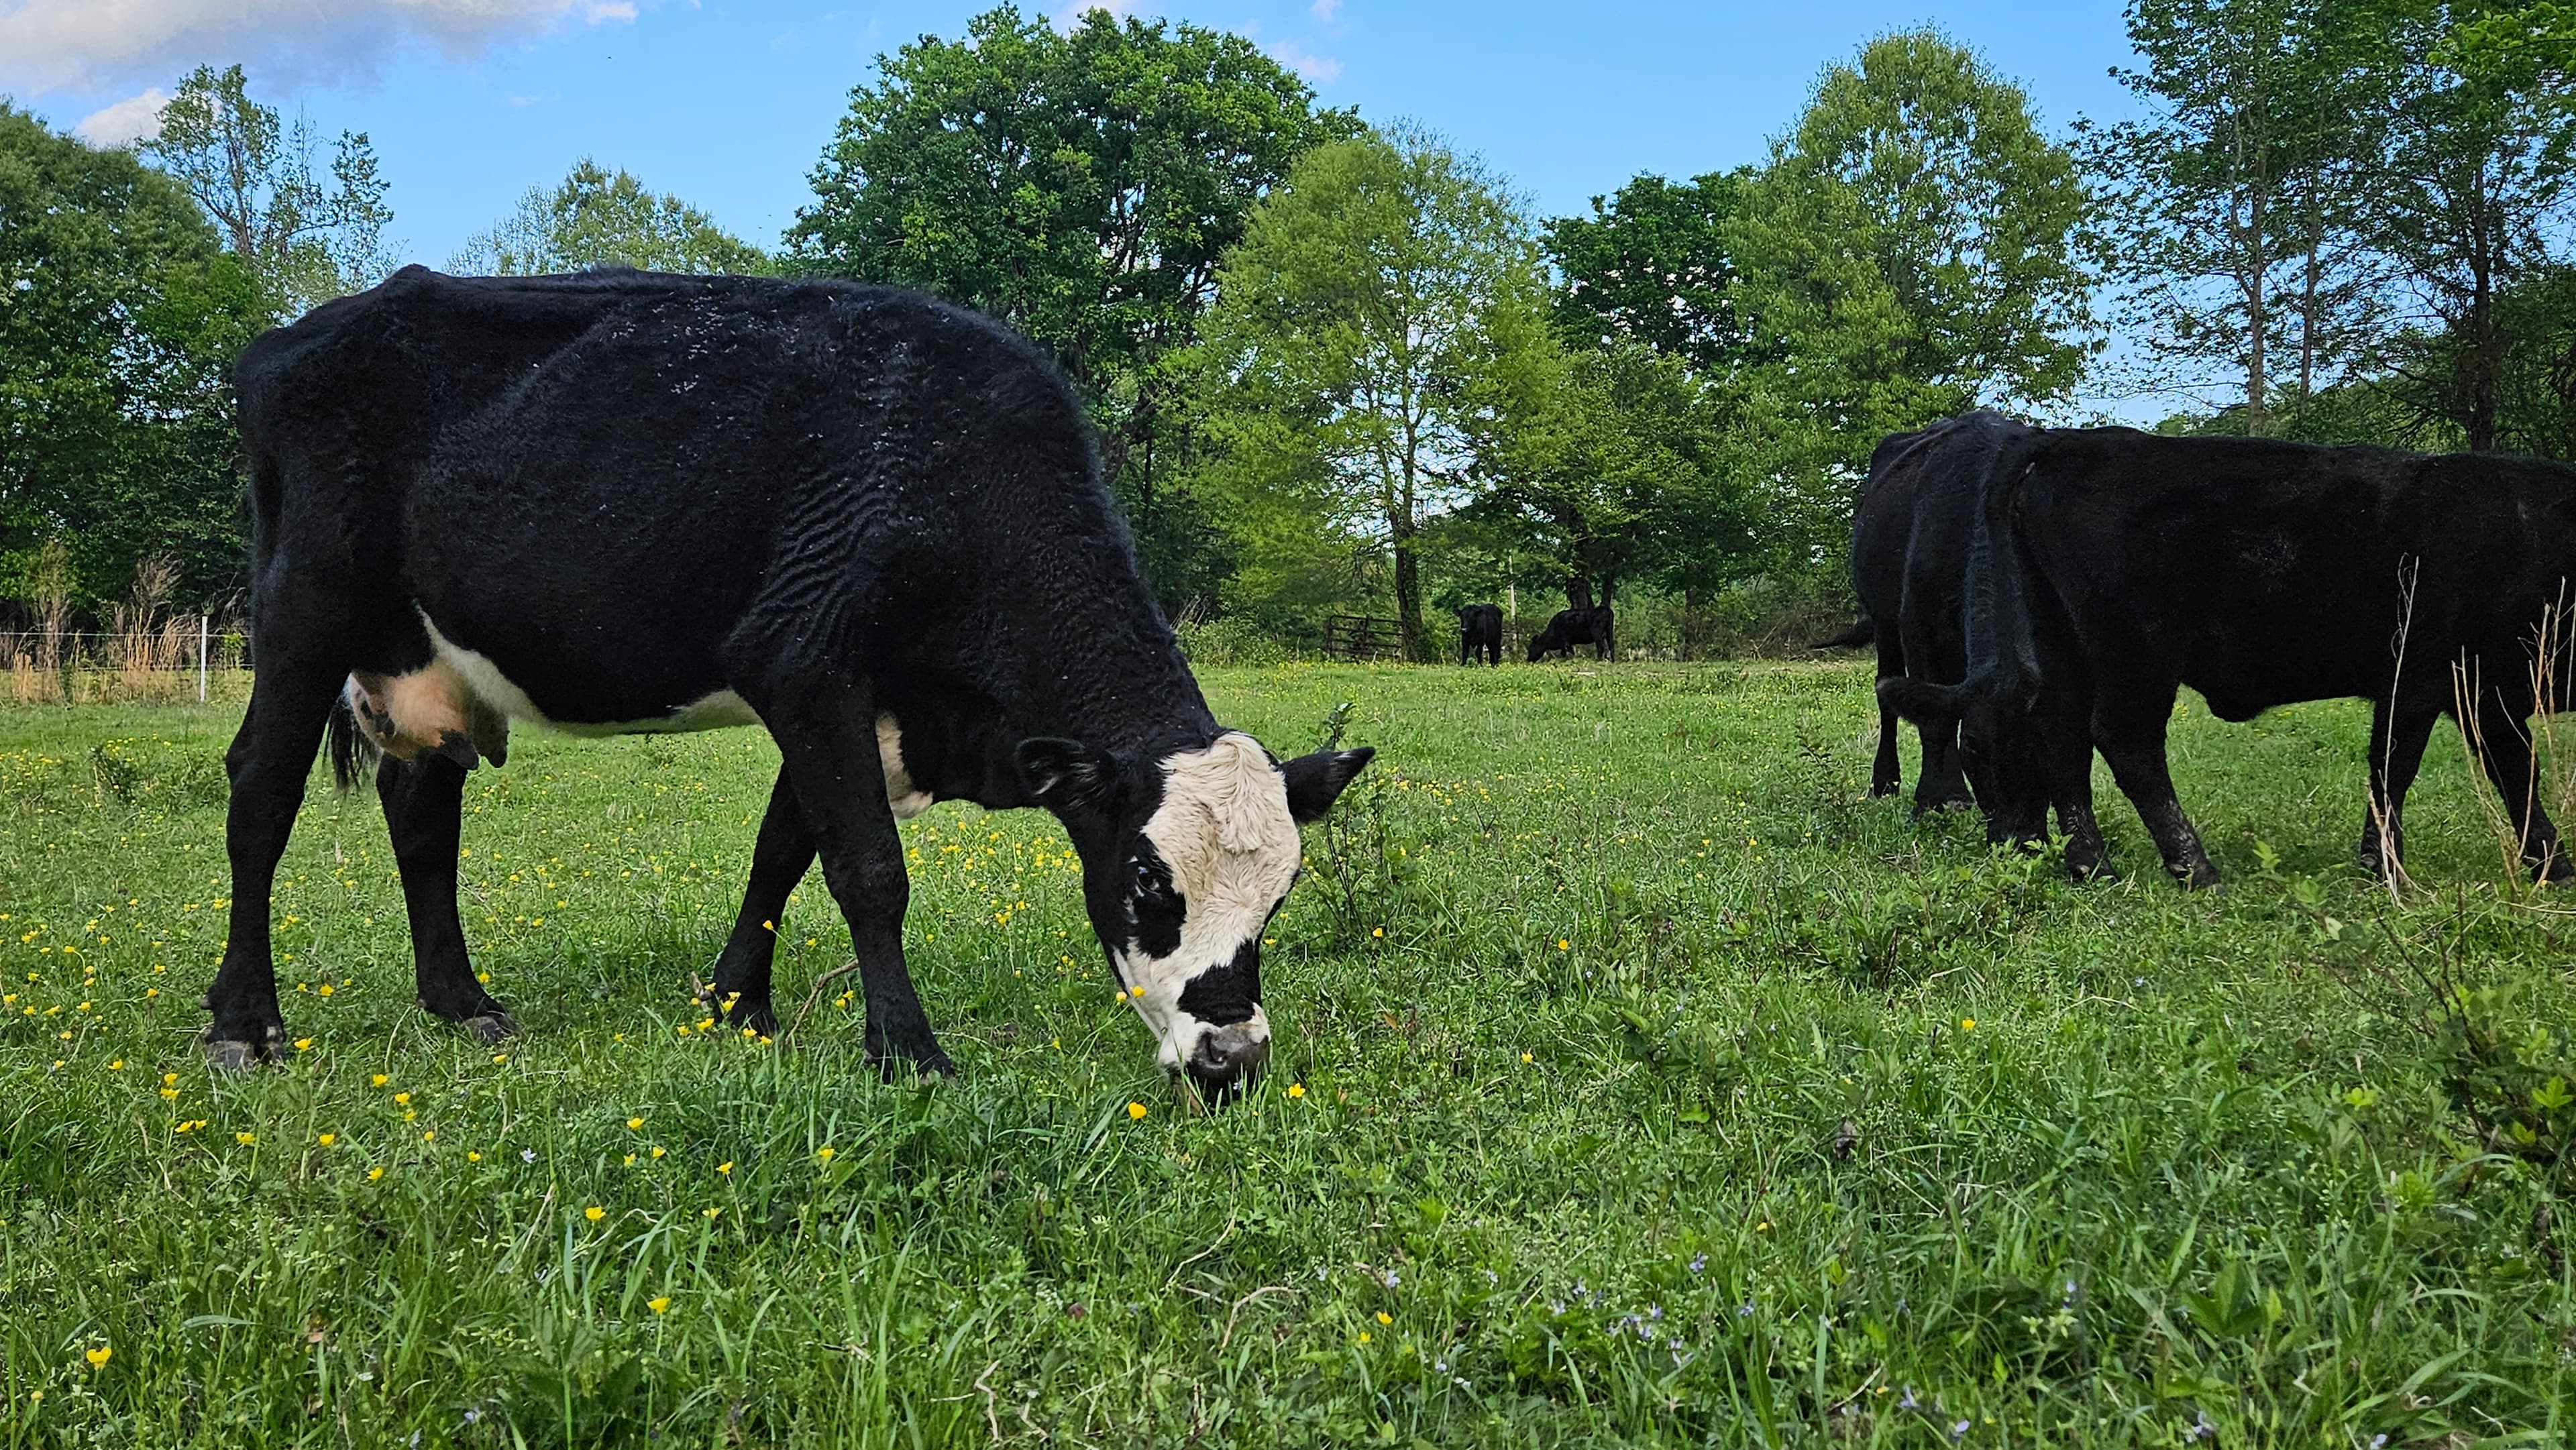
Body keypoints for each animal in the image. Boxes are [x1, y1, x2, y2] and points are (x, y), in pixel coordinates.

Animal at [211, 266, 1373, 1100]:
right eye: (1144, 882)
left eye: (1282, 893)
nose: (1231, 1058)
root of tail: (290, 338)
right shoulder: (805, 658)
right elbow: (869, 868)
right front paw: (907, 1050)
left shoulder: (856, 703)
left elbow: (784, 848)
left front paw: (735, 1003)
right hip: (306, 606)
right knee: (261, 792)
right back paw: (245, 1022)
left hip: (429, 662)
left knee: (423, 813)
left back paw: (461, 999)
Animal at [1527, 605, 1615, 662]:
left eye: (1530, 649)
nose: (1528, 660)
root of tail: (1606, 610)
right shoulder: (1568, 643)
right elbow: (1571, 652)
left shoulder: (1564, 641)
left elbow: (1564, 653)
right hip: (1609, 632)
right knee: (1611, 645)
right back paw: (1612, 660)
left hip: (1597, 633)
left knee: (1601, 647)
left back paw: (1598, 660)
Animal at [1888, 425, 2576, 888]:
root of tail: (2066, 443)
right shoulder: (2434, 676)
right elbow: (2424, 768)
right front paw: (2389, 868)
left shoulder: (2463, 687)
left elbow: (2490, 769)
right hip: (2138, 653)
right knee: (2127, 742)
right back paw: (2195, 867)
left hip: (2062, 650)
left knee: (2063, 740)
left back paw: (2093, 864)